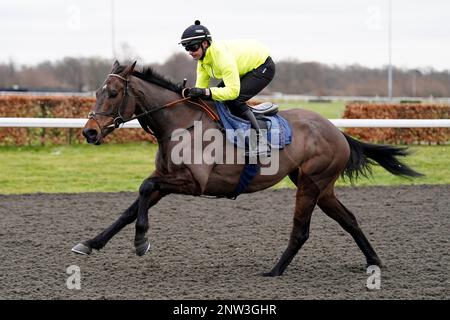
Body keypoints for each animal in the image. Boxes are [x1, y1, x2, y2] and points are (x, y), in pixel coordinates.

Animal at [72, 61, 424, 276]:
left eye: (113, 93)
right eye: (96, 92)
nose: (89, 132)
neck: (180, 124)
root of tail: (336, 130)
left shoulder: (193, 183)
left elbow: (143, 188)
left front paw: (141, 241)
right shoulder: (166, 179)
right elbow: (131, 207)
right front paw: (90, 243)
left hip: (311, 184)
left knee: (301, 230)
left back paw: (275, 270)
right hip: (322, 187)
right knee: (349, 219)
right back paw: (374, 261)